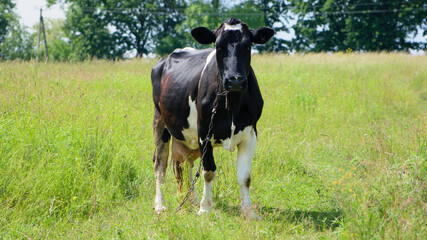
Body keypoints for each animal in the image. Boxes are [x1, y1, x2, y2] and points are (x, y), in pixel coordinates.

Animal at [152, 17, 276, 218]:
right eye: (218, 46)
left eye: (248, 45)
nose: (235, 80)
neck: (232, 102)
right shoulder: (204, 133)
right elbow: (208, 172)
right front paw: (205, 208)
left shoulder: (251, 133)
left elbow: (245, 176)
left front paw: (249, 211)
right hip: (160, 121)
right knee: (160, 164)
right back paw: (160, 204)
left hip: (187, 137)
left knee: (183, 164)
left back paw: (190, 201)